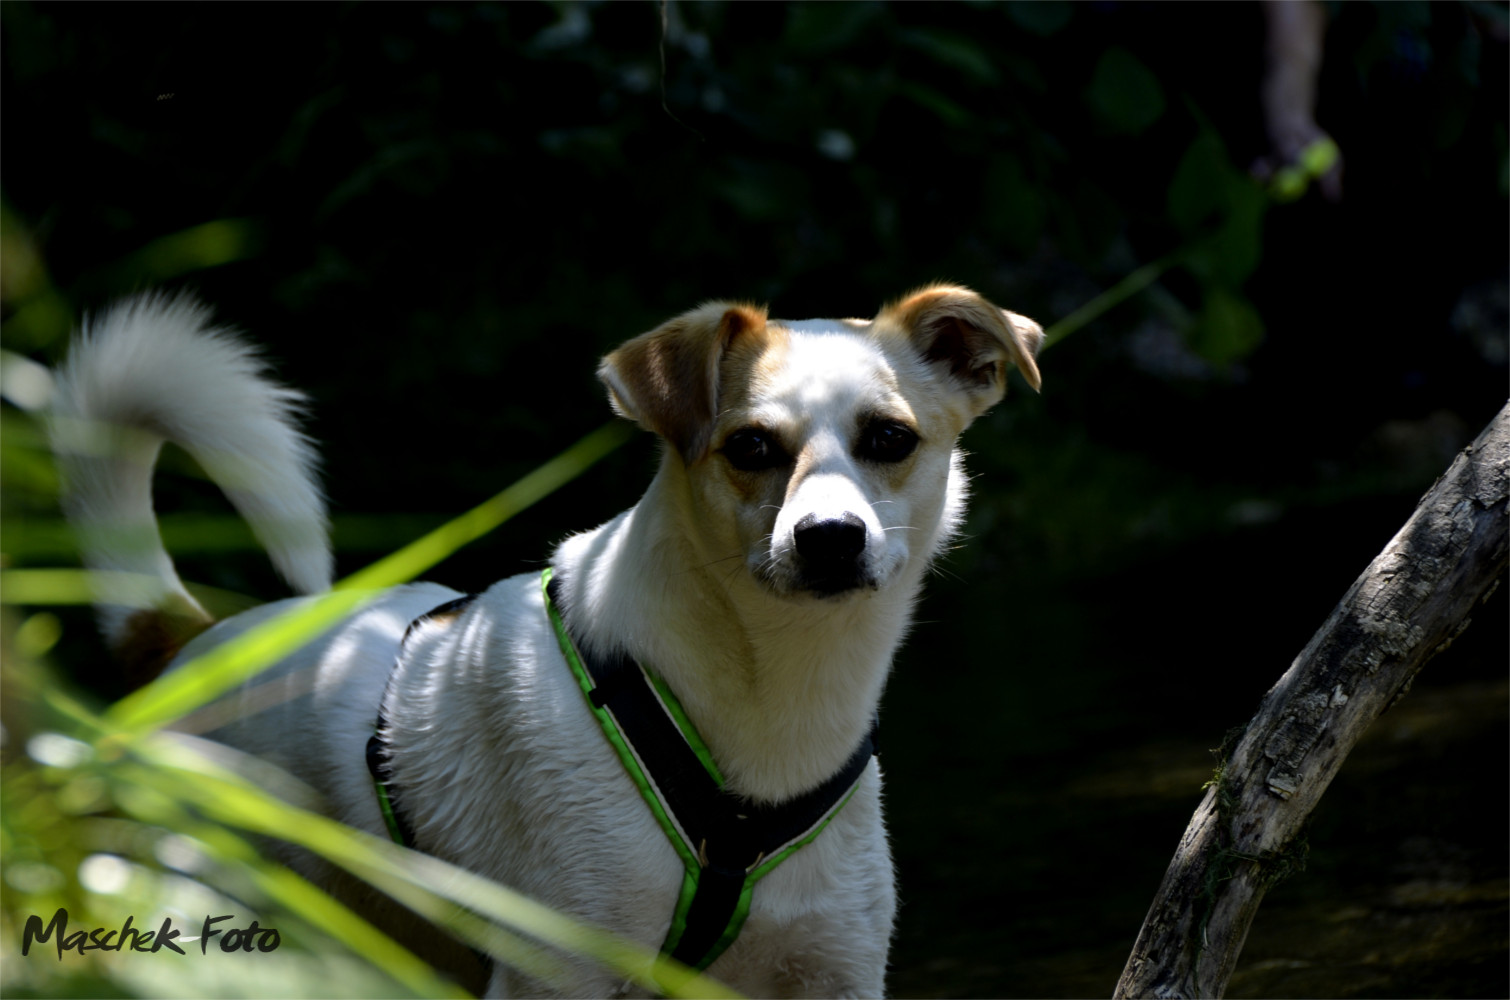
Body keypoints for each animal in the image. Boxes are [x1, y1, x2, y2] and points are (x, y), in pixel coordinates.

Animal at [47, 285, 1038, 996]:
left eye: (890, 438)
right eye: (752, 447)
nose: (829, 537)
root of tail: (185, 644)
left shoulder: (832, 971)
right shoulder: (558, 974)